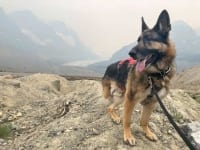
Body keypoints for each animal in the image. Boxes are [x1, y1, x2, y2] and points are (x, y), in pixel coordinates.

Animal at [102, 9, 176, 146]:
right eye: (138, 40)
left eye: (148, 39)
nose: (130, 53)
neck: (155, 74)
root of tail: (109, 66)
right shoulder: (131, 99)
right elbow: (127, 120)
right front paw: (128, 135)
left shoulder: (151, 103)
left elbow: (144, 120)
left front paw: (148, 132)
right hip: (124, 97)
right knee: (109, 107)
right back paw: (116, 117)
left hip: (122, 97)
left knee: (110, 106)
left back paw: (115, 116)